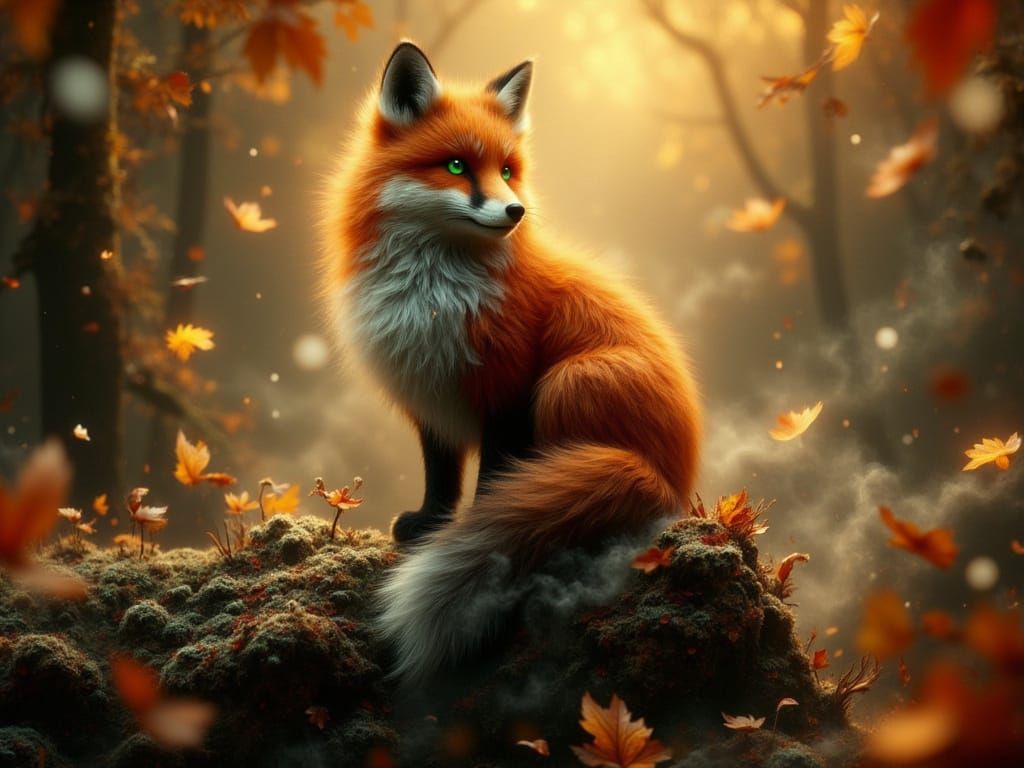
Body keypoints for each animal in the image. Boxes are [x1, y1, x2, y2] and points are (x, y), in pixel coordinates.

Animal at [320, 42, 701, 682]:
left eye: (505, 170)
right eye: (454, 166)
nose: (516, 211)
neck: (435, 295)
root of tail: (676, 479)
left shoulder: (508, 391)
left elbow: (496, 482)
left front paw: (475, 532)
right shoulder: (431, 393)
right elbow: (442, 476)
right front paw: (429, 526)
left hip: (568, 383)